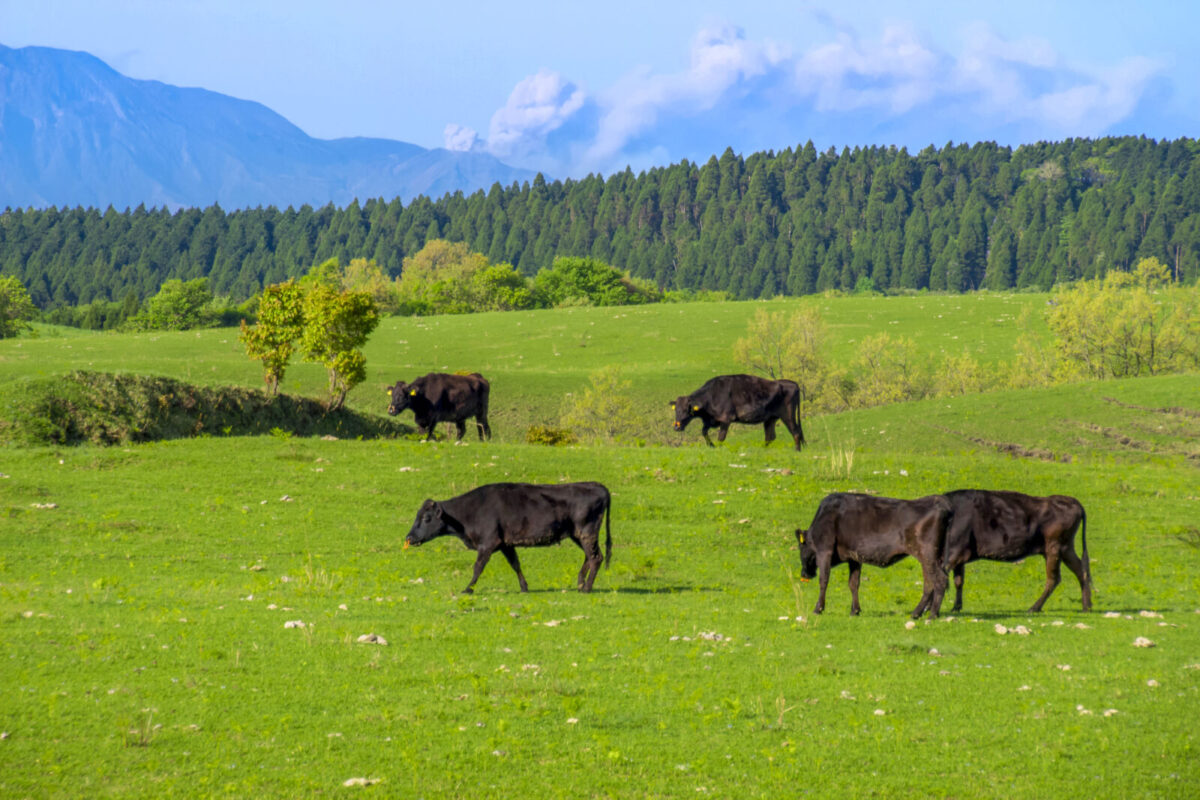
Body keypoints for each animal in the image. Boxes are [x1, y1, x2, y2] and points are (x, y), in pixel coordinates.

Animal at [405, 482, 614, 594]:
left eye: (426, 518)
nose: (409, 537)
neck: (470, 511)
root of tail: (597, 486)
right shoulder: (506, 544)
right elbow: (515, 564)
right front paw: (524, 587)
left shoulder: (488, 544)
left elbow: (478, 567)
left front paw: (468, 589)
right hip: (578, 535)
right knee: (590, 557)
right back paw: (580, 584)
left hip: (587, 533)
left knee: (596, 557)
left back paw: (586, 588)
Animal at [667, 376, 806, 450]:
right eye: (676, 410)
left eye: (686, 410)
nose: (676, 427)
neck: (711, 397)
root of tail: (791, 383)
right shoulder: (711, 421)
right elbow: (704, 431)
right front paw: (711, 445)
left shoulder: (726, 419)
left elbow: (721, 437)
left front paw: (717, 447)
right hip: (770, 418)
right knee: (770, 436)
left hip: (788, 415)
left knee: (795, 432)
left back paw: (797, 450)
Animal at [796, 494, 955, 618]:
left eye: (800, 547)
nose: (804, 573)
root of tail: (941, 504)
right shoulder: (854, 557)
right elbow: (853, 583)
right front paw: (855, 610)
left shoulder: (824, 550)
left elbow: (824, 580)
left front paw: (818, 608)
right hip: (931, 558)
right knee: (930, 583)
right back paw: (919, 613)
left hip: (928, 555)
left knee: (939, 580)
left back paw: (931, 614)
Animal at [940, 489, 1094, 614]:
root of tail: (1072, 501)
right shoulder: (959, 557)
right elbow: (958, 581)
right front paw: (956, 608)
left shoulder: (955, 554)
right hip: (1066, 549)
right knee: (1081, 571)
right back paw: (1086, 607)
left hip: (1054, 549)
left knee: (1054, 579)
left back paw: (1033, 608)